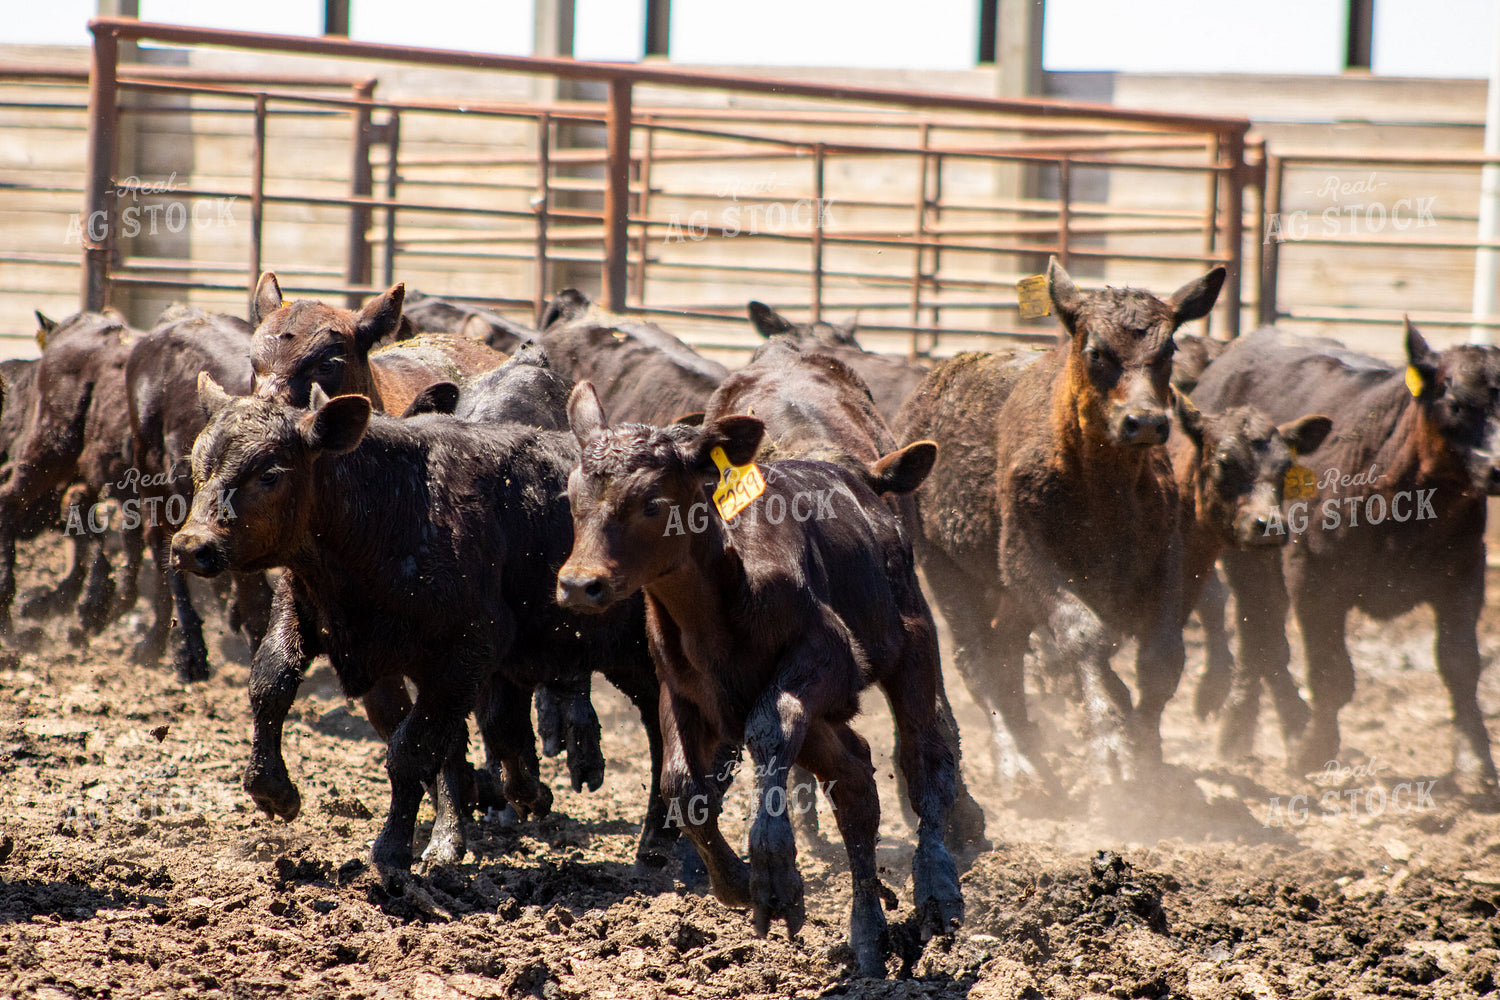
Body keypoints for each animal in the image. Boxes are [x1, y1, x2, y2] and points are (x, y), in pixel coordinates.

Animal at [171, 378, 673, 871]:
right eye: (198, 466)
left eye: (270, 474)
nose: (191, 546)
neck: (392, 509)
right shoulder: (307, 610)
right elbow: (270, 683)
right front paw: (273, 788)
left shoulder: (466, 652)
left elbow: (412, 750)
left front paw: (392, 851)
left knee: (664, 735)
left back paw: (659, 843)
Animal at [556, 384, 963, 977]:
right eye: (570, 498)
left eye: (652, 502)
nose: (578, 584)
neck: (714, 607)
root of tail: (863, 484)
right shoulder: (682, 691)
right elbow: (681, 783)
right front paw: (738, 882)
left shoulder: (826, 655)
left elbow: (769, 729)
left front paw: (773, 875)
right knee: (855, 779)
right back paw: (868, 938)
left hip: (912, 644)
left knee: (922, 755)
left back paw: (937, 889)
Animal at [894, 258, 1225, 790]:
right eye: (1096, 351)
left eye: (1168, 349)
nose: (1145, 422)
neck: (1103, 491)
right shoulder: (1028, 559)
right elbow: (1082, 637)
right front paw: (1111, 751)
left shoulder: (1165, 556)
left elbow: (1162, 656)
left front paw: (1147, 756)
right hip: (944, 567)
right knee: (976, 658)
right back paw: (1016, 763)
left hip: (1009, 597)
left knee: (1007, 653)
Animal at [1191, 322, 1500, 795]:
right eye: (1456, 403)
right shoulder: (1314, 577)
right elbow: (1331, 675)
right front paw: (1313, 750)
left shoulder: (1464, 572)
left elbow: (1460, 665)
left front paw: (1475, 762)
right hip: (1249, 560)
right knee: (1261, 636)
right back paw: (1250, 729)